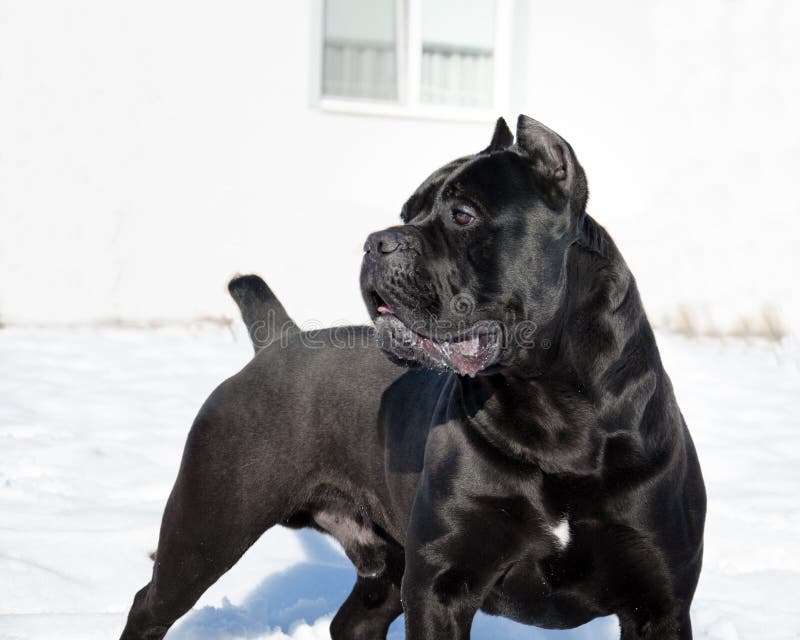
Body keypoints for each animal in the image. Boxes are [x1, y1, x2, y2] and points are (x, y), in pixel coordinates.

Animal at [120, 116, 708, 640]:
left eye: (464, 214)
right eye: (406, 212)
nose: (376, 240)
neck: (553, 407)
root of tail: (277, 342)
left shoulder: (659, 606)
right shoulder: (440, 589)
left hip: (385, 567)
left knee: (354, 621)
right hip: (205, 531)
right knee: (150, 604)